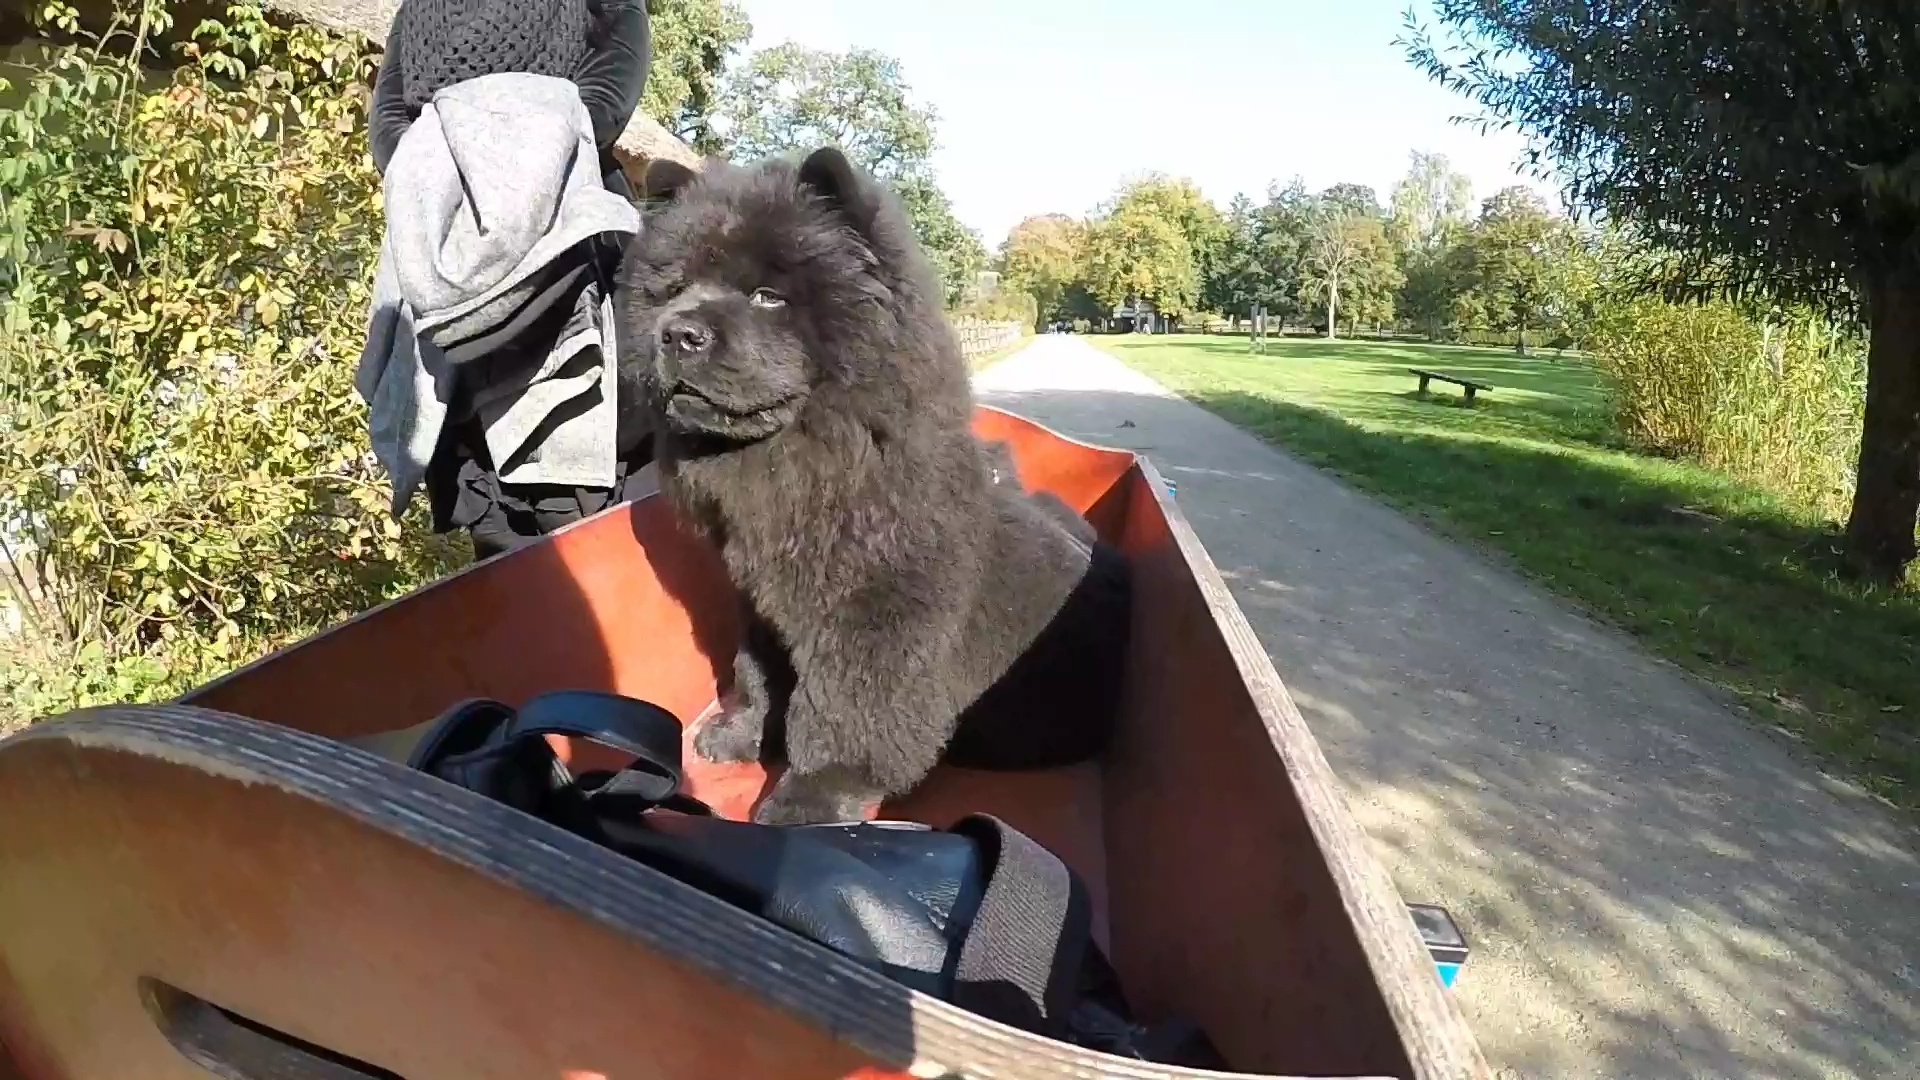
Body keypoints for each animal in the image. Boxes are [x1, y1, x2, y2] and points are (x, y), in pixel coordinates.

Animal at [618, 147, 1121, 818]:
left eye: (767, 297)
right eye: (674, 291)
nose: (676, 332)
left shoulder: (874, 615)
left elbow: (841, 712)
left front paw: (807, 802)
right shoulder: (762, 601)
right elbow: (757, 674)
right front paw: (738, 735)